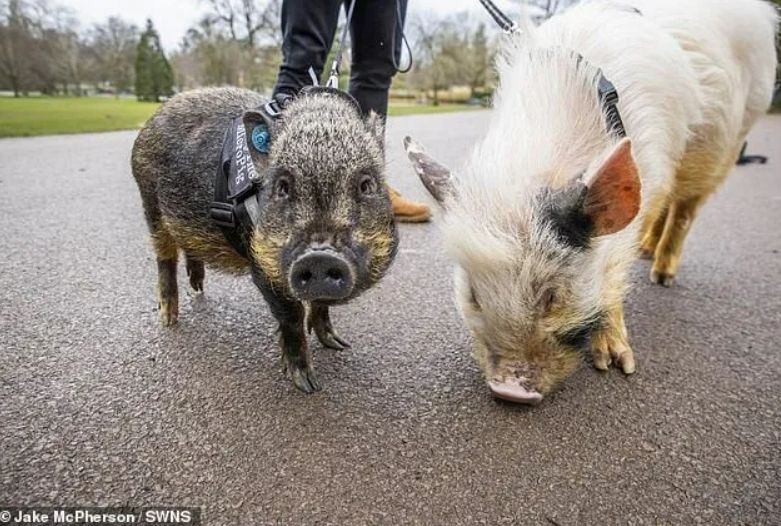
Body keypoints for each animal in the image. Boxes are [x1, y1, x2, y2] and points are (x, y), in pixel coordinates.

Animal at [133, 87, 396, 392]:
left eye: (366, 184)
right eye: (282, 187)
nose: (320, 255)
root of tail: (149, 123)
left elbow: (320, 304)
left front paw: (338, 344)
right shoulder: (258, 258)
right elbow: (291, 314)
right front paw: (307, 385)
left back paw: (197, 288)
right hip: (150, 202)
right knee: (165, 257)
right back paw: (168, 320)